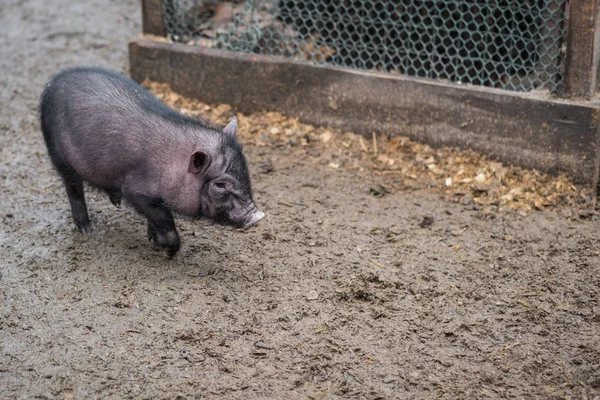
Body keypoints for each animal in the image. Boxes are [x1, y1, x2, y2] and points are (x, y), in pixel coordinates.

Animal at [38, 67, 262, 255]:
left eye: (246, 173)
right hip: (57, 152)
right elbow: (162, 218)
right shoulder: (136, 190)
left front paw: (152, 240)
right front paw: (168, 250)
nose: (258, 216)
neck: (176, 166)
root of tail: (53, 81)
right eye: (220, 185)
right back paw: (86, 229)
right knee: (73, 187)